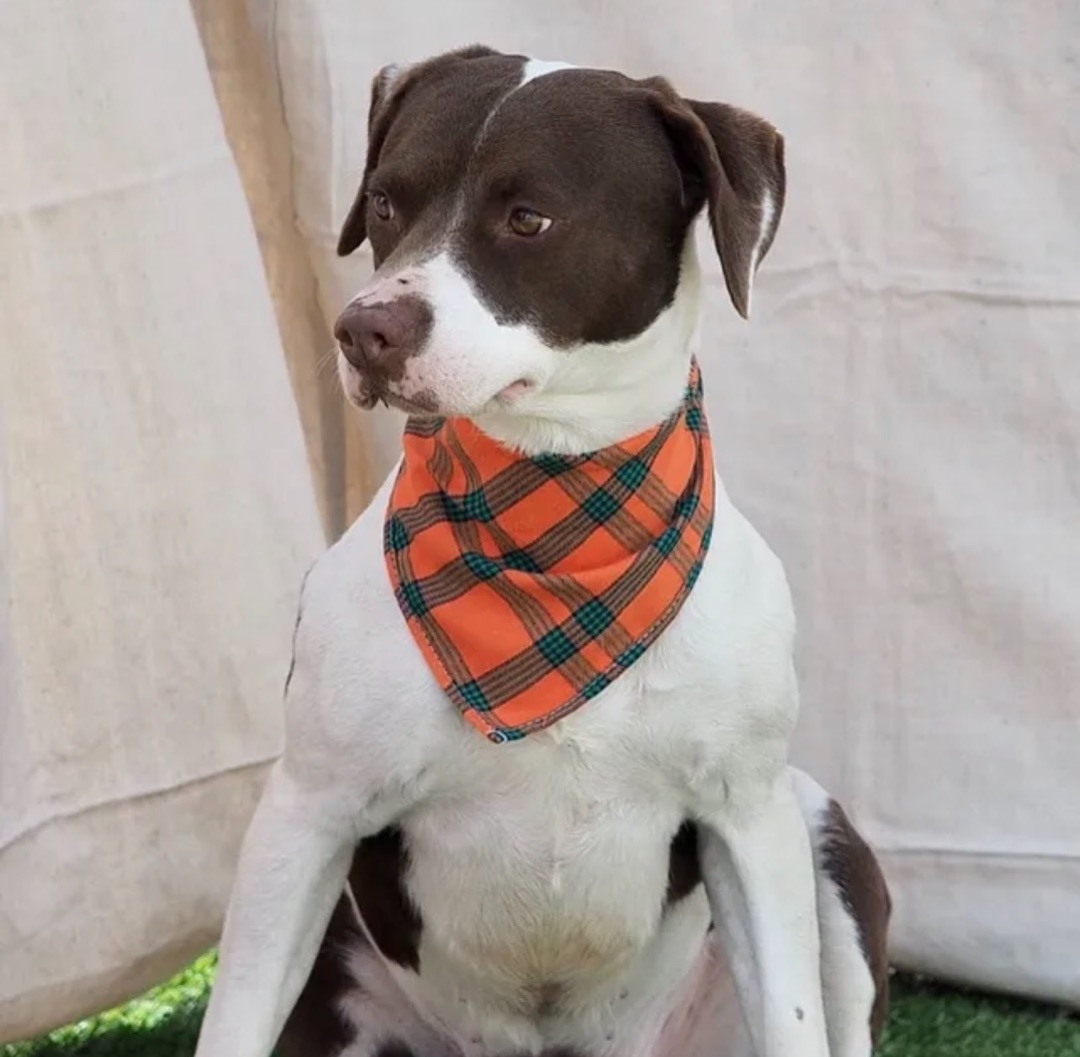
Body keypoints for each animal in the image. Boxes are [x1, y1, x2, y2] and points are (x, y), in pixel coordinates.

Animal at [192, 43, 885, 1057]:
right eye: (387, 202)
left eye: (529, 218)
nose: (363, 330)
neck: (554, 524)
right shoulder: (305, 811)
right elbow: (236, 1012)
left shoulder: (750, 815)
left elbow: (793, 1014)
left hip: (823, 830)